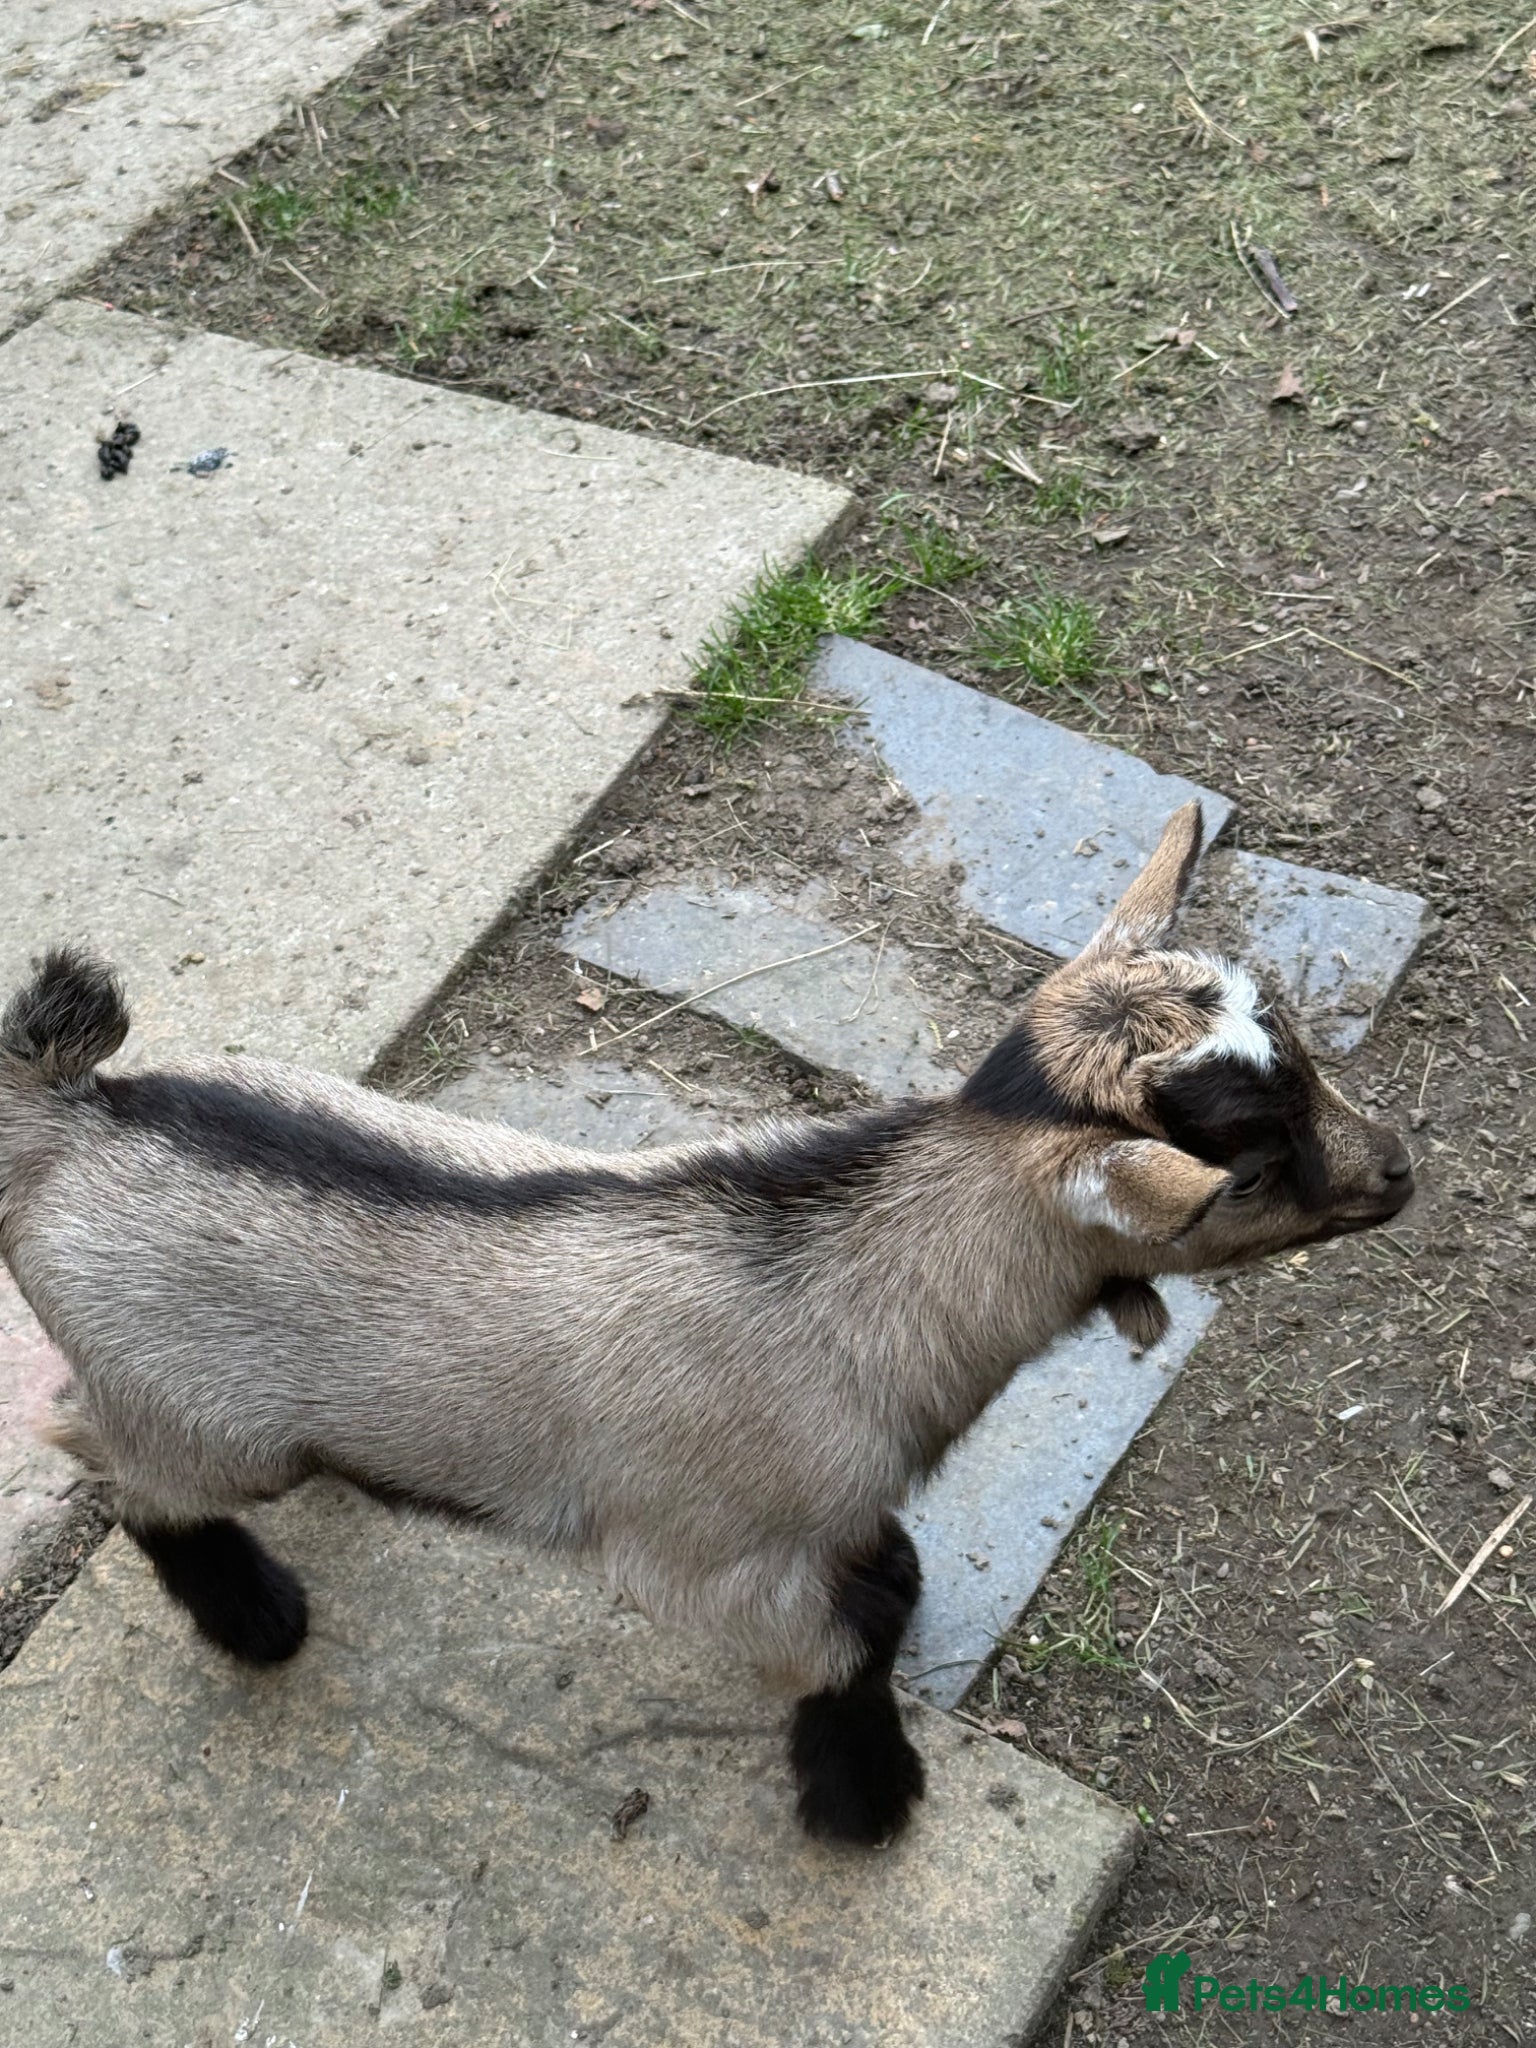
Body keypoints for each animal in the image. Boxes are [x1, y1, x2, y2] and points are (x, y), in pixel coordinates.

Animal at [0, 804, 1413, 1846]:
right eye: (1247, 1155)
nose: (1400, 1169)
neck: (853, 1280)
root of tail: (68, 1119)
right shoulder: (705, 1561)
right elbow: (843, 1647)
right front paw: (866, 1802)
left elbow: (877, 1583)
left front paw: (895, 1595)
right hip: (201, 1420)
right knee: (106, 1452)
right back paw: (255, 1616)